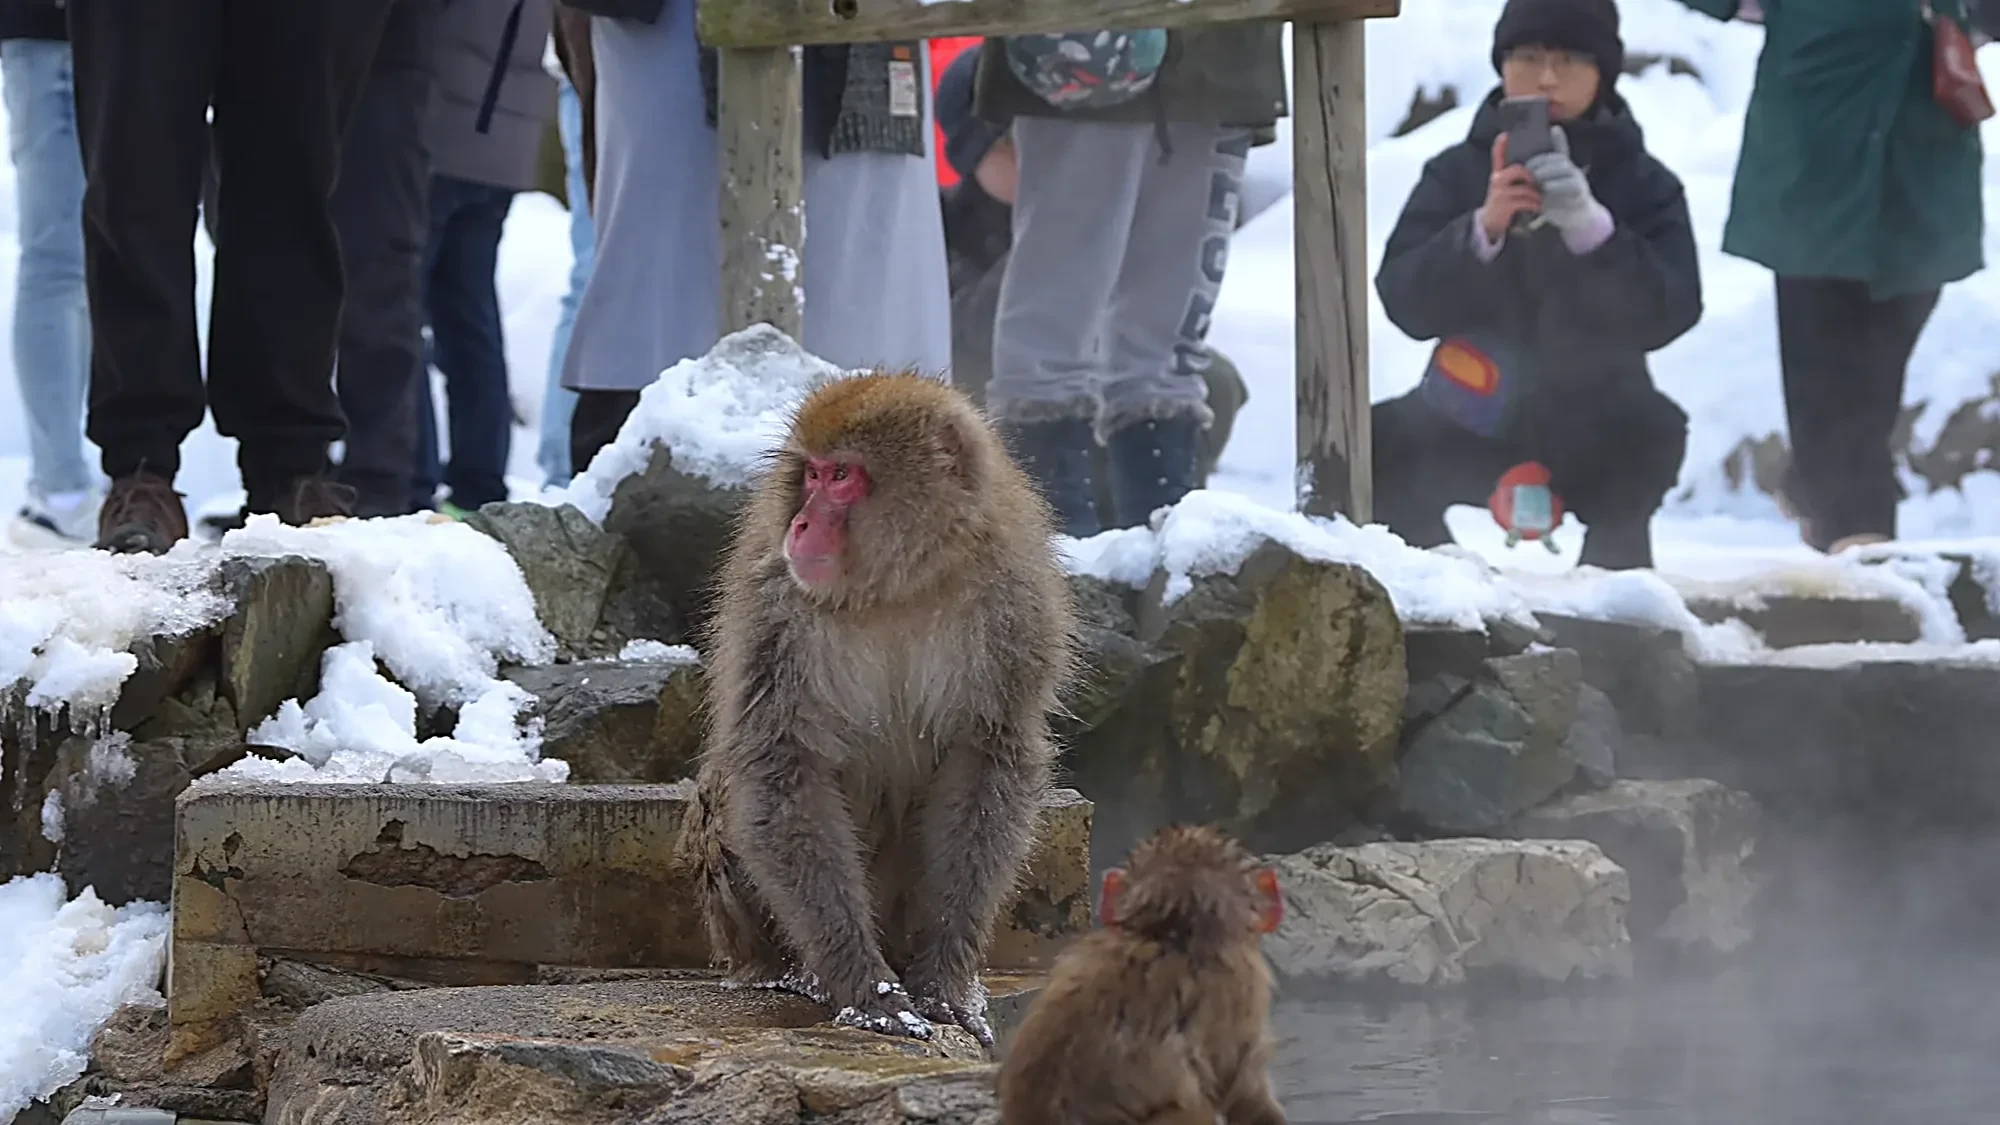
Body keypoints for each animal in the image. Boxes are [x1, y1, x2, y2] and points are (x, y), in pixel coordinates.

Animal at [675, 369, 1080, 1046]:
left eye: (841, 475)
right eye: (811, 474)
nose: (800, 525)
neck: (898, 588)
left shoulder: (1014, 601)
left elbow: (988, 753)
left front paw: (944, 982)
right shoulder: (773, 603)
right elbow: (779, 758)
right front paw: (868, 990)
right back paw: (797, 973)